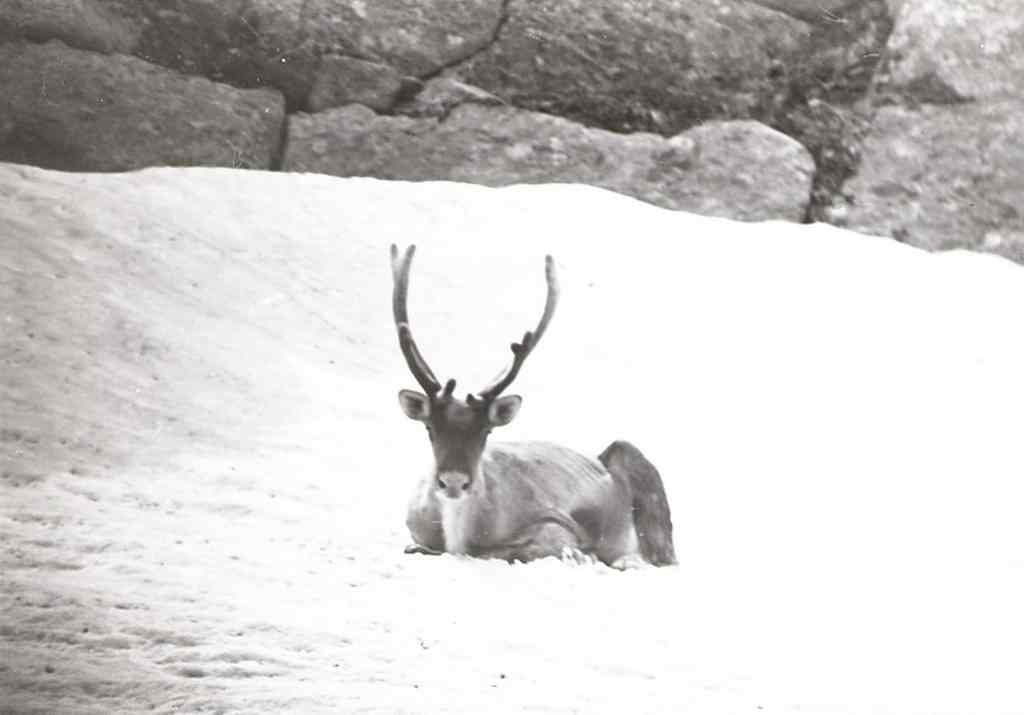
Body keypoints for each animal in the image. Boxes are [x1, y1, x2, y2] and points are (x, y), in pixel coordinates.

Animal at [390, 244, 676, 569]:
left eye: (486, 431)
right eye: (430, 428)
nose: (453, 481)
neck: (457, 532)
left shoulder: (556, 522)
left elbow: (516, 550)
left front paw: (582, 554)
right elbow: (417, 546)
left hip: (645, 487)